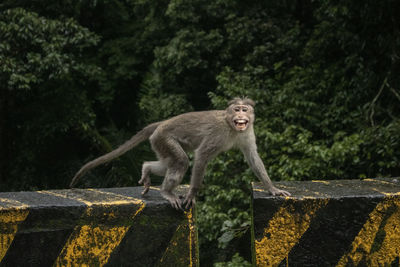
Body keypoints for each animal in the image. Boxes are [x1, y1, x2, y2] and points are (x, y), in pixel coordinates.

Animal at [71, 97, 290, 210]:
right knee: (181, 161)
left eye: (245, 109)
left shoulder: (247, 132)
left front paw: (272, 189)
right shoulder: (218, 133)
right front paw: (192, 194)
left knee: (168, 162)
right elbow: (201, 156)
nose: (241, 115)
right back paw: (167, 192)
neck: (232, 126)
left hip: (158, 142)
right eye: (237, 109)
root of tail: (161, 123)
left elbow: (253, 157)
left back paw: (147, 169)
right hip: (164, 138)